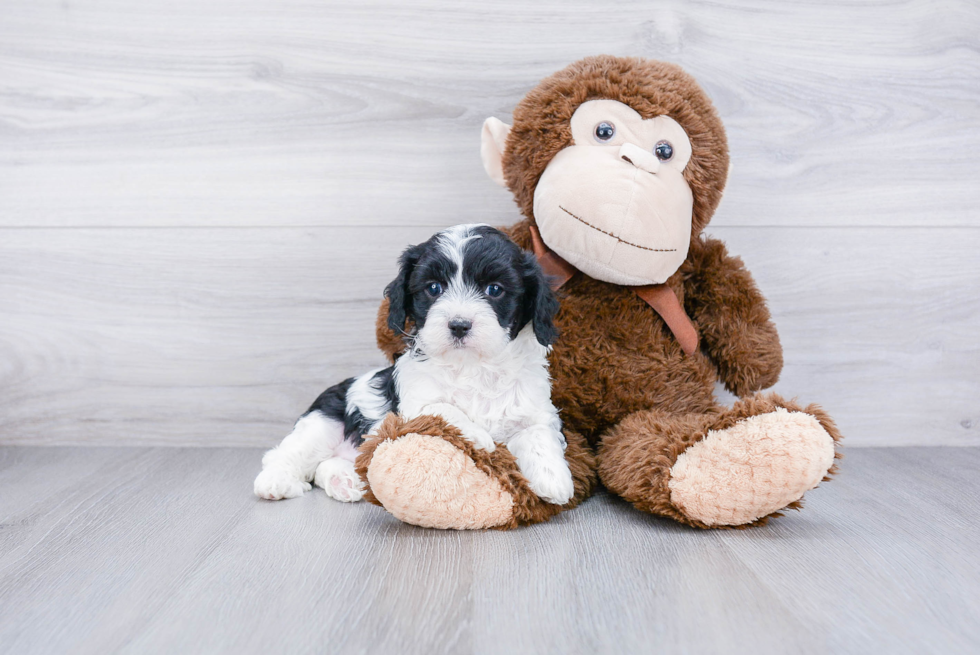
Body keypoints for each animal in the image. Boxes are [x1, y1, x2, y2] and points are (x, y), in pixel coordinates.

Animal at [253, 226, 576, 508]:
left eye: (494, 289)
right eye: (434, 288)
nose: (459, 325)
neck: (472, 366)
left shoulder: (535, 408)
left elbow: (539, 434)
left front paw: (554, 481)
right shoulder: (413, 407)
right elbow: (443, 409)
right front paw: (478, 436)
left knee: (326, 464)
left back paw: (345, 481)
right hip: (322, 423)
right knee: (287, 454)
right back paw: (275, 482)